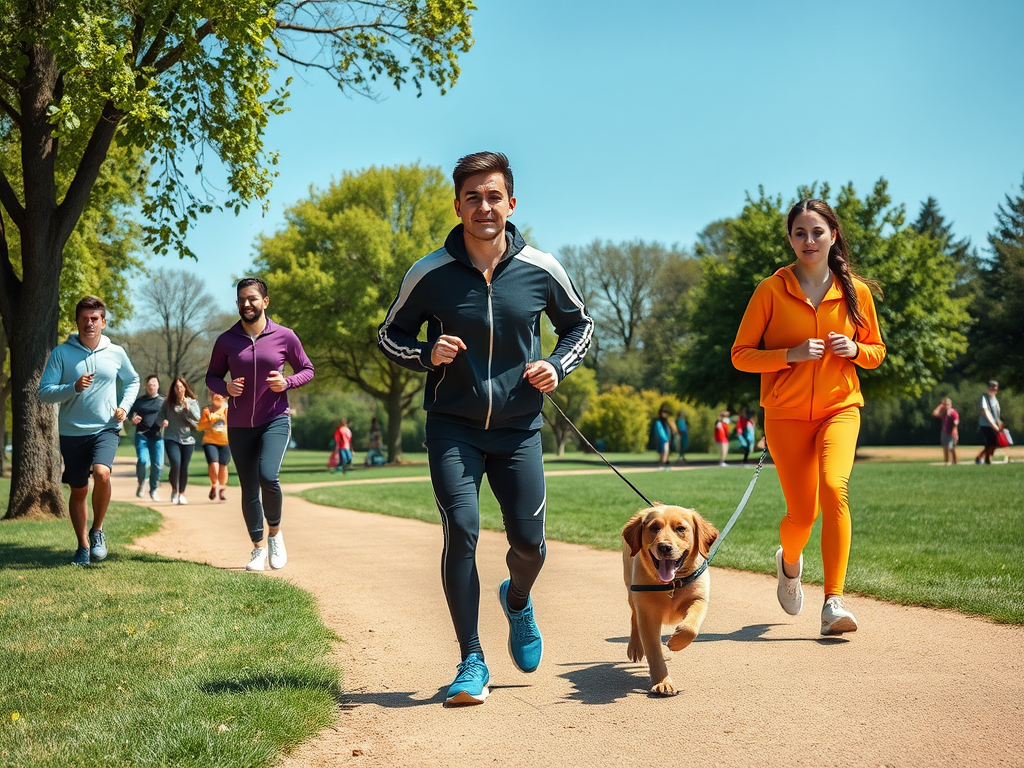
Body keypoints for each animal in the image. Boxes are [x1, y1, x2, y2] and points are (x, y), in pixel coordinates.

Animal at [618, 505, 716, 696]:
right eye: (654, 528)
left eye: (681, 529)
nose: (664, 547)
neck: (671, 584)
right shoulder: (647, 615)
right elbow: (654, 653)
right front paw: (663, 682)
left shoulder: (699, 598)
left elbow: (690, 628)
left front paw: (675, 642)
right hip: (630, 588)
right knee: (634, 616)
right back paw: (635, 647)